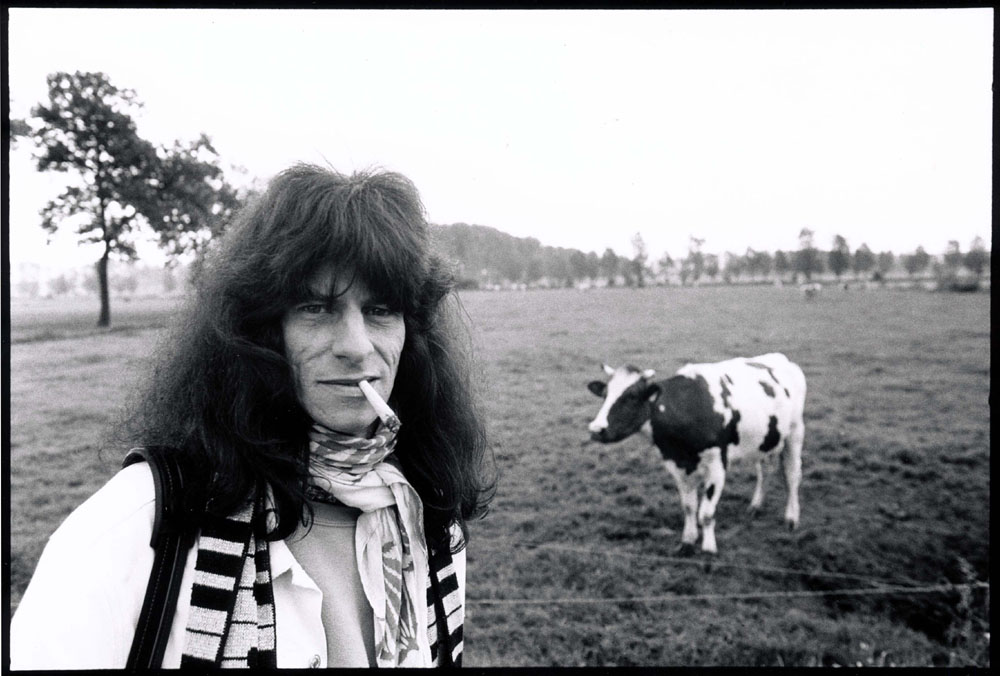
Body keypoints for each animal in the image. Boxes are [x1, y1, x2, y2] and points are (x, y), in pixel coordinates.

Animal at [586, 353, 806, 555]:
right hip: (766, 440)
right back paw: (755, 506)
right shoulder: (677, 464)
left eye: (631, 396)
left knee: (792, 475)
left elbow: (706, 513)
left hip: (795, 432)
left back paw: (791, 519)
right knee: (764, 470)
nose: (596, 429)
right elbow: (689, 507)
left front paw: (708, 549)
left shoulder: (717, 465)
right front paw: (687, 541)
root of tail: (783, 359)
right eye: (605, 394)